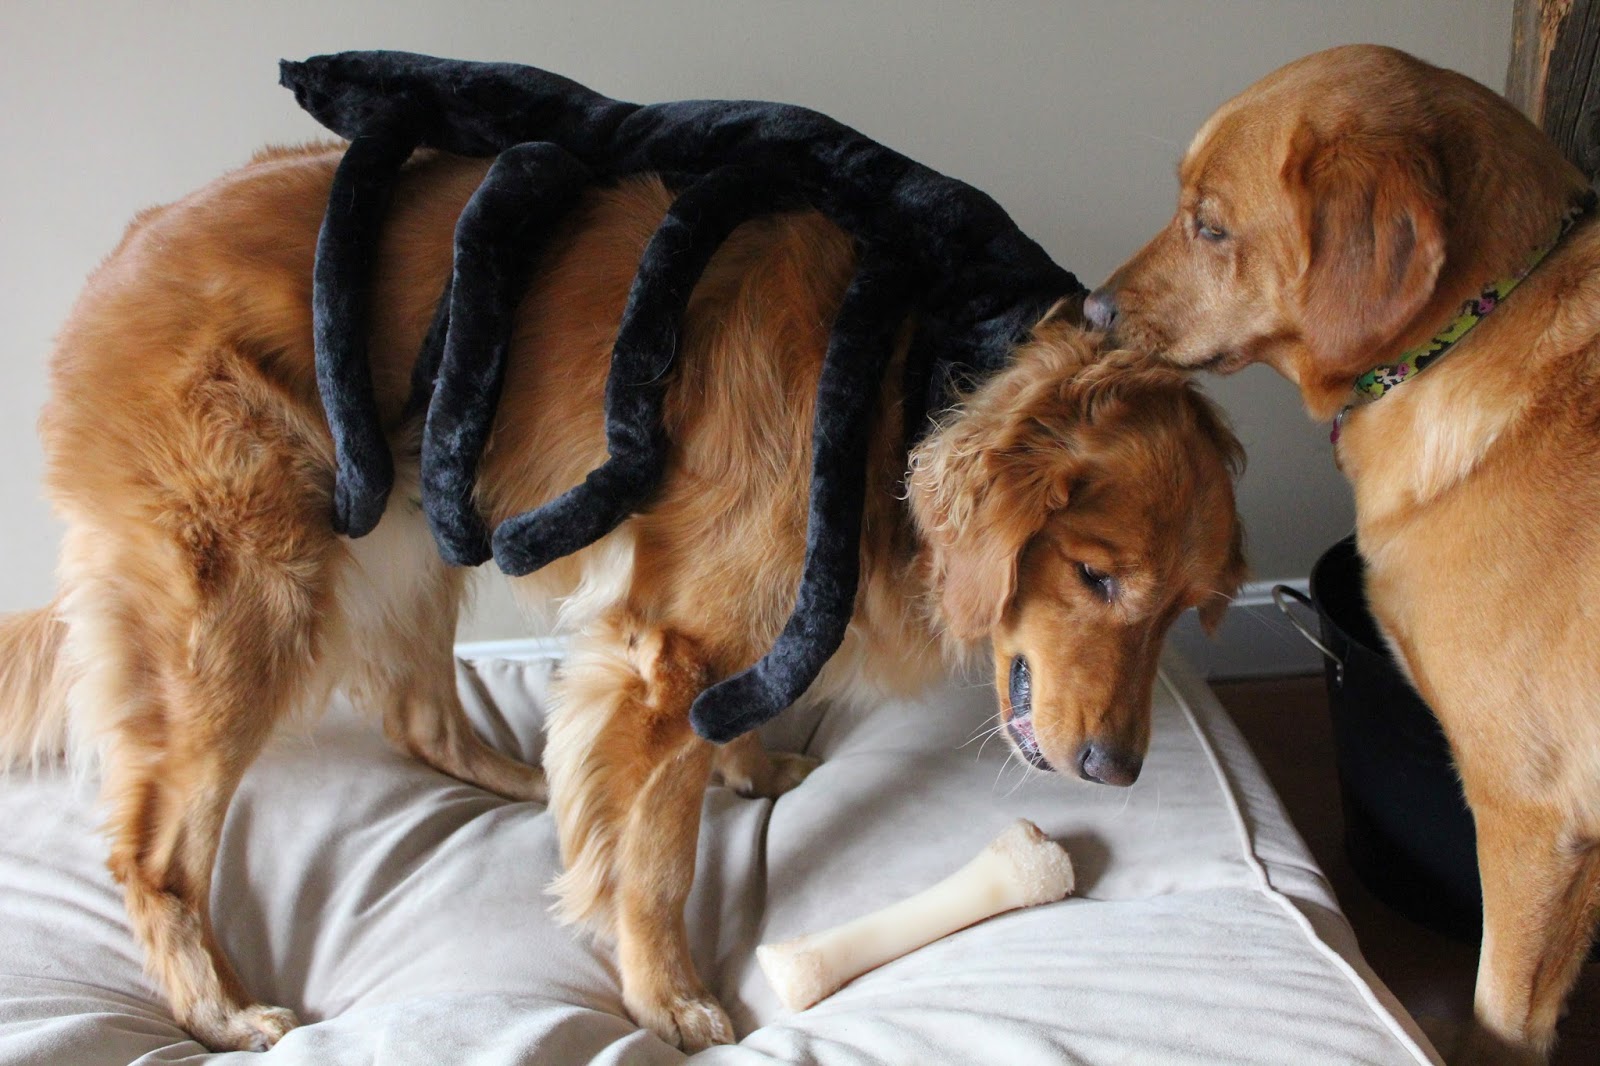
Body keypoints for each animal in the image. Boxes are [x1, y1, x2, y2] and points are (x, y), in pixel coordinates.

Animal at [0, 139, 1248, 1043]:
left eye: (1182, 607)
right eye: (1096, 575)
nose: (1117, 771)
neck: (907, 370)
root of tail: (117, 261)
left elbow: (713, 738)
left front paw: (751, 766)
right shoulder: (668, 652)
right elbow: (652, 861)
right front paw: (671, 997)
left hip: (404, 527)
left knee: (416, 711)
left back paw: (517, 778)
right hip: (246, 603)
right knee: (151, 852)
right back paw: (214, 1008)